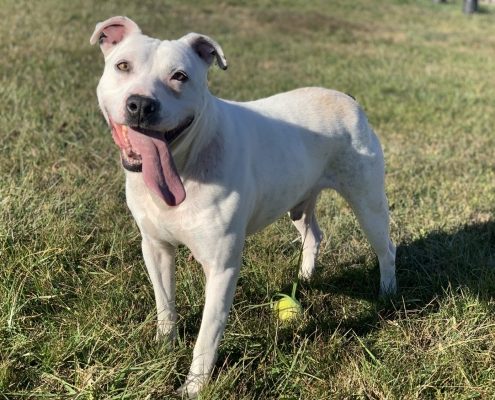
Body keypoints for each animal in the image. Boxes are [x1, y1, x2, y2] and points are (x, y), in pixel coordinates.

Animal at [91, 16, 398, 396]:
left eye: (180, 76)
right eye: (123, 66)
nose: (141, 104)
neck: (185, 162)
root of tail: (347, 98)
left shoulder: (221, 268)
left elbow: (207, 336)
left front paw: (193, 387)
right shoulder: (156, 248)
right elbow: (165, 305)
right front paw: (164, 348)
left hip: (368, 203)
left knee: (386, 248)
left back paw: (387, 294)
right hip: (297, 199)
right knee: (313, 234)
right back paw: (306, 277)